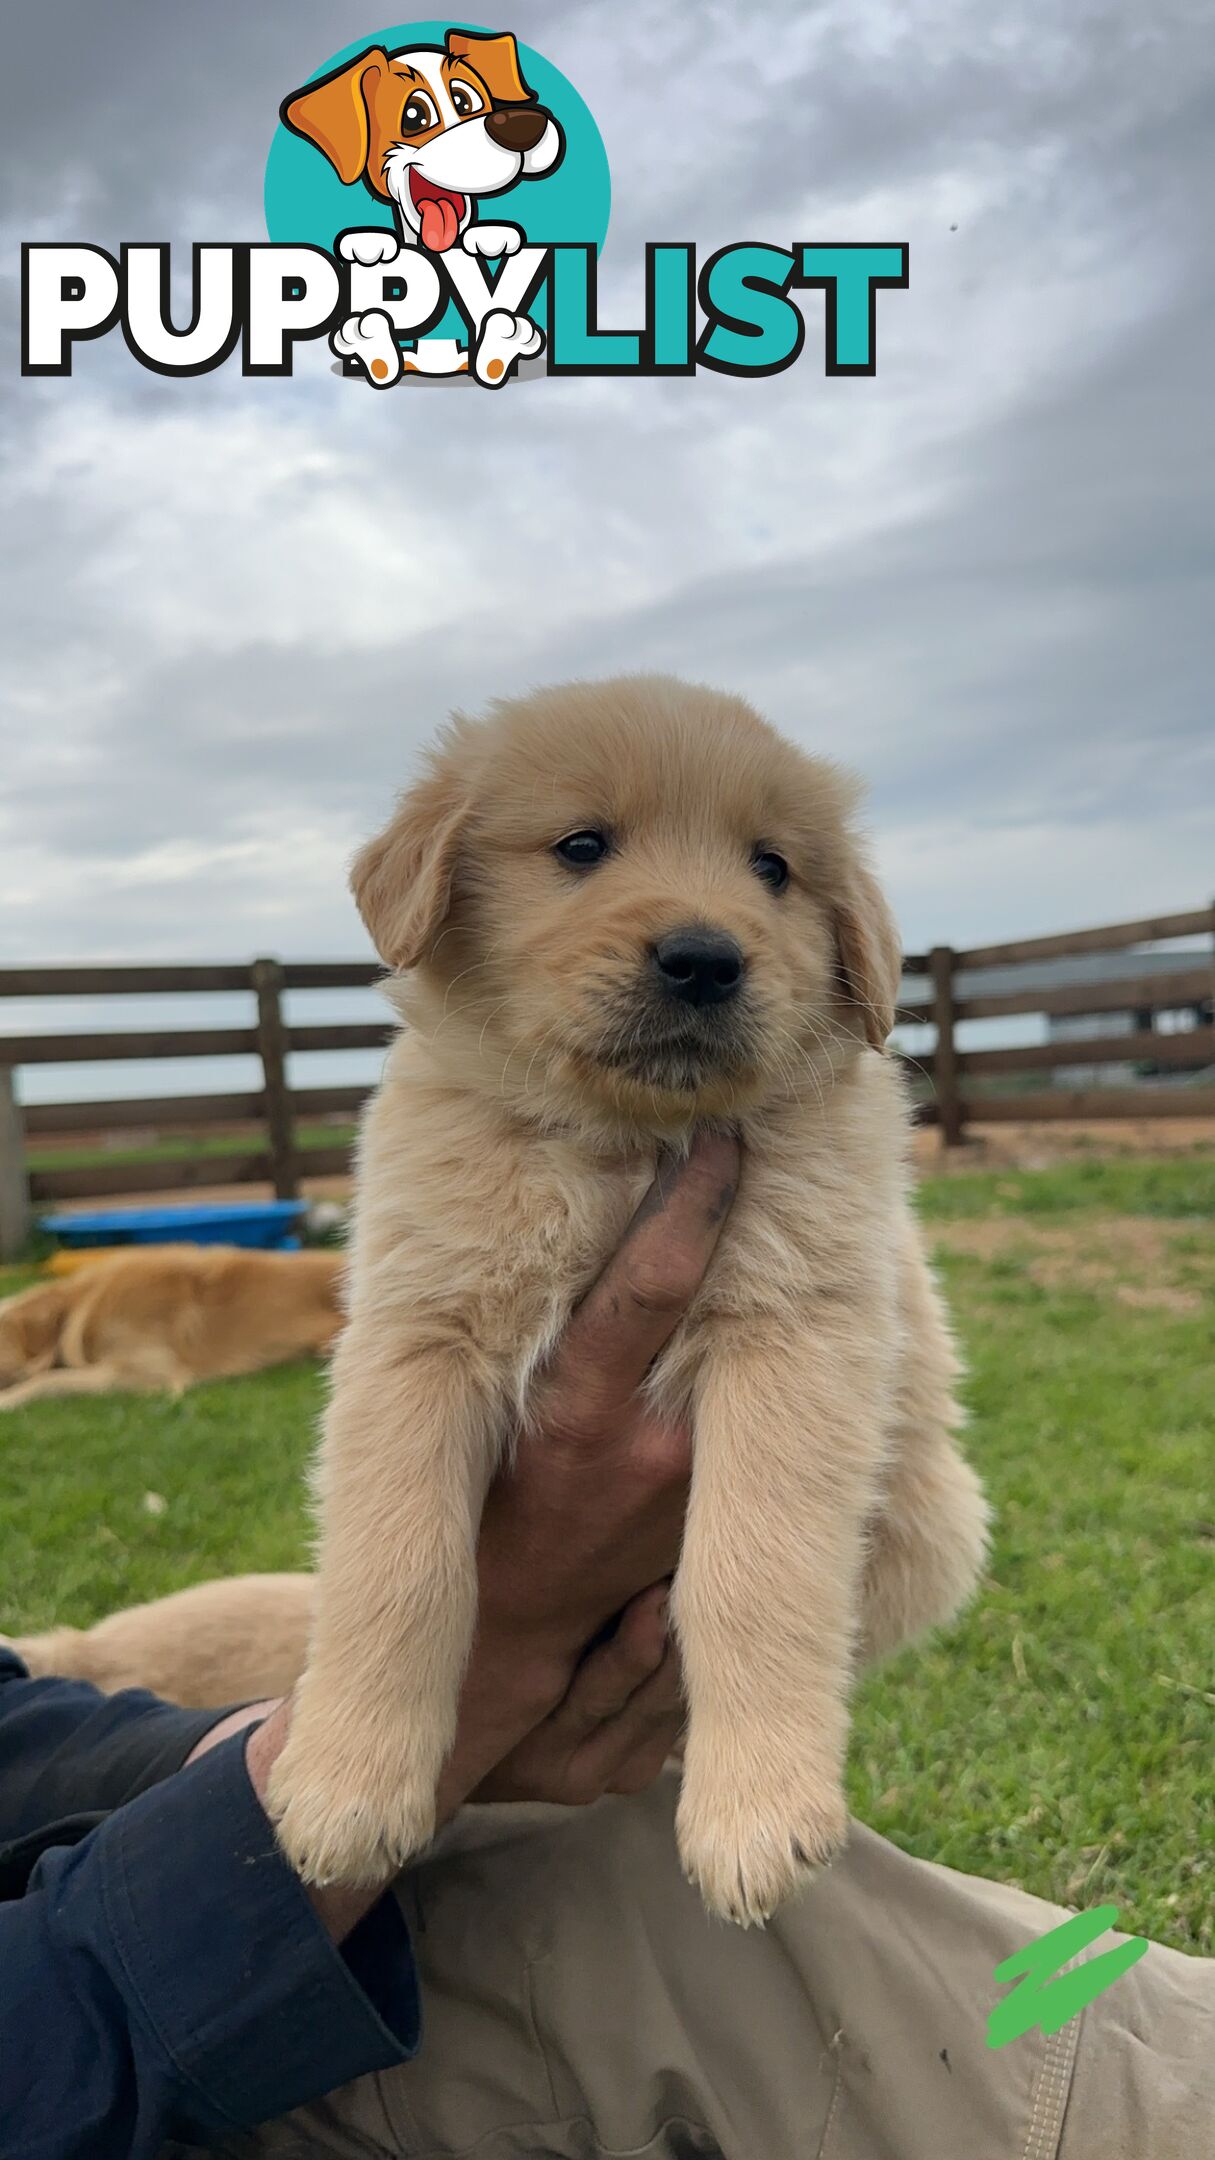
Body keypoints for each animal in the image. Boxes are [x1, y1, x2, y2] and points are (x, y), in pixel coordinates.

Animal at [266, 673, 985, 1926]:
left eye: (772, 868)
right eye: (582, 846)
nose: (705, 958)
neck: (624, 1147)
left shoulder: (794, 1330)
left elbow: (753, 1566)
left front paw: (756, 1815)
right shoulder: (415, 1335)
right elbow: (395, 1563)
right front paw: (343, 1792)